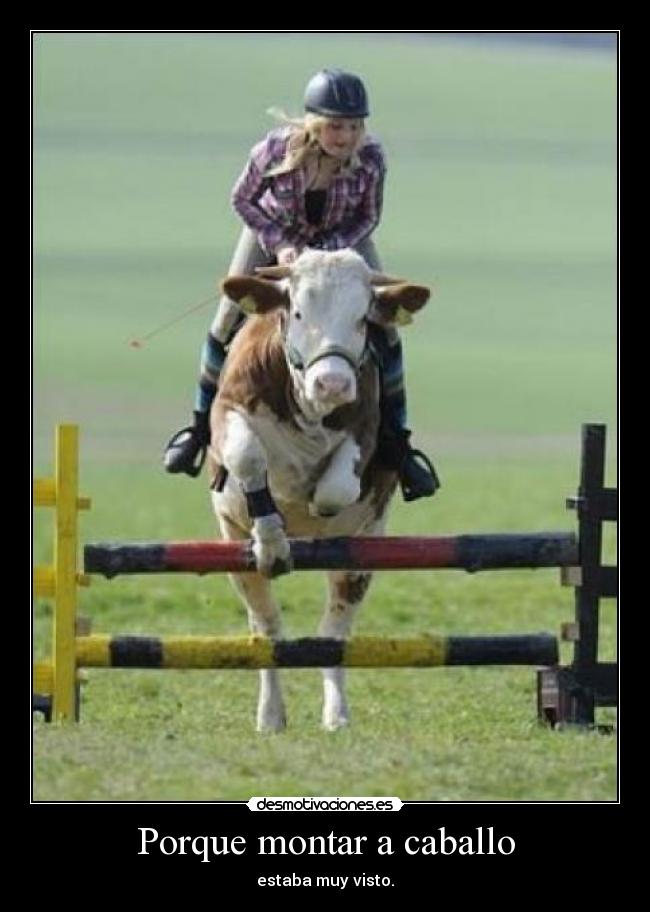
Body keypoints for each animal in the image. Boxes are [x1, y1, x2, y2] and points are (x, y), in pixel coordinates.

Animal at [207, 248, 431, 731]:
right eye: (297, 311)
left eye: (363, 317)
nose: (332, 383)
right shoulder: (229, 412)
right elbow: (248, 456)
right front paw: (273, 541)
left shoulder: (367, 430)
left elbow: (336, 487)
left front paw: (312, 506)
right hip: (233, 547)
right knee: (267, 628)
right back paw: (271, 715)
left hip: (364, 557)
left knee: (335, 631)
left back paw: (336, 714)